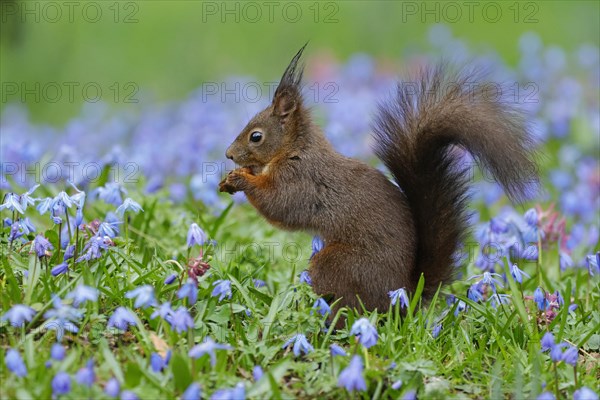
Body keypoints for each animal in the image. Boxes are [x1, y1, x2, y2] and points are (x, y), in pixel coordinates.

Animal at [218, 44, 536, 312]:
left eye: (256, 136)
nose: (229, 154)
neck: (294, 149)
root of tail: (404, 294)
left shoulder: (300, 180)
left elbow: (279, 205)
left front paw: (241, 179)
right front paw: (231, 179)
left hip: (339, 265)